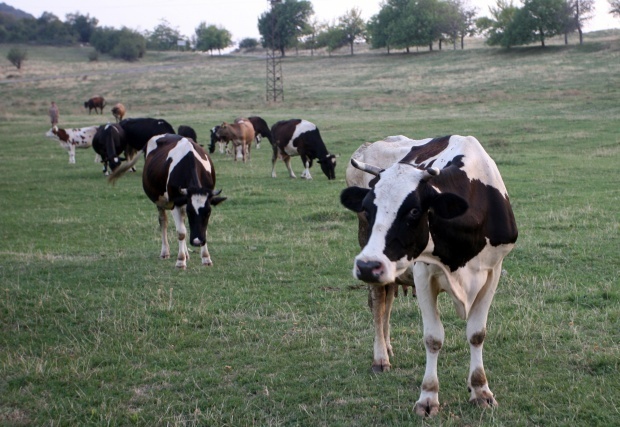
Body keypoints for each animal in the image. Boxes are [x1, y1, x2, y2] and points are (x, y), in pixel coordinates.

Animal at [109, 135, 225, 268]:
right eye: (190, 212)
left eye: (208, 212)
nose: (197, 241)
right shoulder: (175, 202)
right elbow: (181, 232)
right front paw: (180, 260)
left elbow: (202, 229)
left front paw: (206, 258)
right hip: (159, 200)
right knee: (163, 221)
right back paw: (165, 252)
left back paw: (187, 253)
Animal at [340, 135, 520, 418]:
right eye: (369, 209)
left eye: (414, 211)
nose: (367, 266)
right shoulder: (423, 273)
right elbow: (433, 338)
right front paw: (428, 397)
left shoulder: (493, 271)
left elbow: (477, 333)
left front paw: (480, 390)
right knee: (378, 304)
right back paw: (381, 357)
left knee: (387, 304)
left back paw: (388, 347)